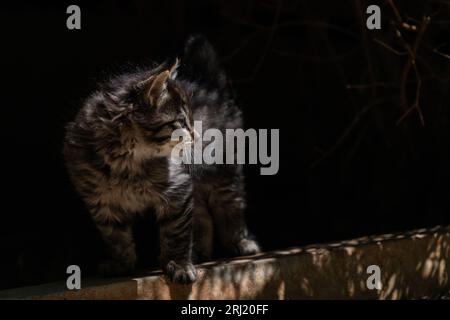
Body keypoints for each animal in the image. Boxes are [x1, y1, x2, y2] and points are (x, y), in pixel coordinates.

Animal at [63, 35, 260, 284]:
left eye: (192, 120)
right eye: (182, 123)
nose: (197, 136)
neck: (126, 163)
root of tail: (209, 86)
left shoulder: (177, 189)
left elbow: (176, 232)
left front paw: (179, 265)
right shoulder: (102, 202)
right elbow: (115, 237)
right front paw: (121, 264)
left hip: (224, 172)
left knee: (231, 207)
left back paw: (240, 242)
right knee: (202, 215)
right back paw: (199, 251)